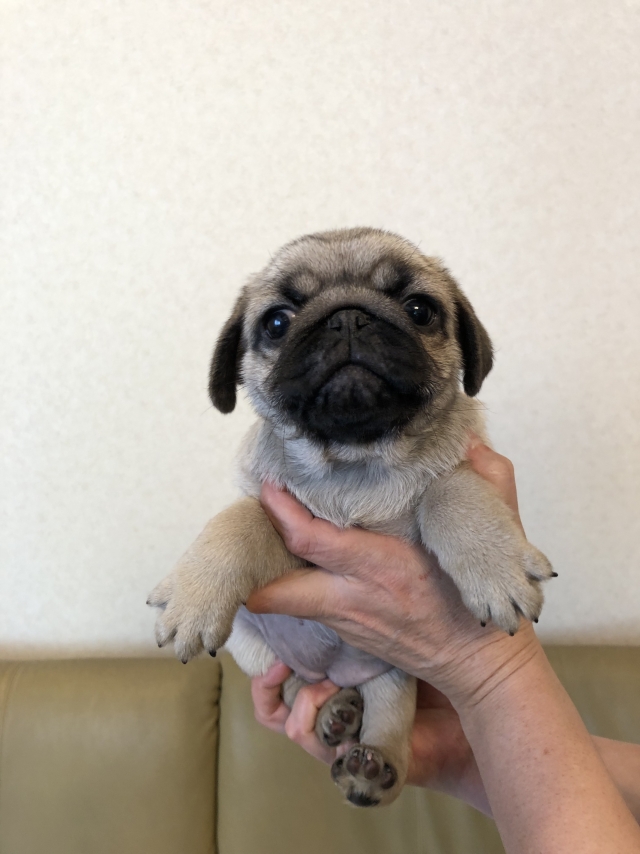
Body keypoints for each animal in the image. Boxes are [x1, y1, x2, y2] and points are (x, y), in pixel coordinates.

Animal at [148, 227, 553, 807]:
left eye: (420, 309)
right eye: (277, 322)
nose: (347, 318)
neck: (355, 461)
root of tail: (334, 671)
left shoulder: (460, 469)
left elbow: (447, 488)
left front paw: (494, 567)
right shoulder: (286, 534)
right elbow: (242, 518)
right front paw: (195, 594)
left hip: (395, 671)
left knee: (388, 711)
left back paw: (372, 765)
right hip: (252, 649)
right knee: (292, 683)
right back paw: (332, 715)